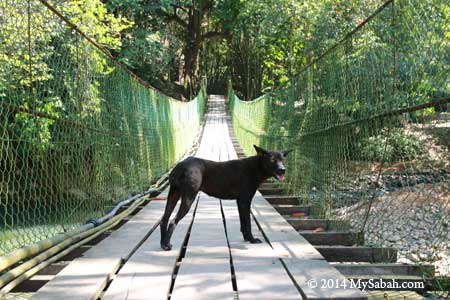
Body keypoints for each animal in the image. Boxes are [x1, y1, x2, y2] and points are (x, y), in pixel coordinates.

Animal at [160, 145, 294, 251]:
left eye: (283, 160)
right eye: (272, 160)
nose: (283, 170)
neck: (256, 167)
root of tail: (180, 166)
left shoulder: (240, 202)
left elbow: (243, 223)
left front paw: (247, 238)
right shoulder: (245, 201)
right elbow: (248, 223)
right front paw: (252, 239)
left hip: (174, 195)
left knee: (164, 219)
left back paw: (162, 244)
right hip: (188, 198)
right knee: (173, 221)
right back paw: (166, 245)